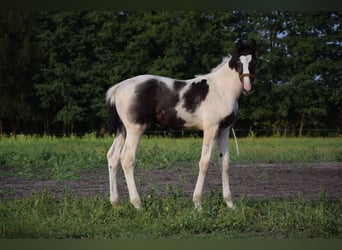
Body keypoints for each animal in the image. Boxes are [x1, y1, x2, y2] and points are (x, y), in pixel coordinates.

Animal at [106, 39, 256, 211]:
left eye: (254, 61)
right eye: (238, 61)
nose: (247, 87)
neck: (221, 90)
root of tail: (117, 88)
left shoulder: (224, 129)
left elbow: (224, 162)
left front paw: (230, 205)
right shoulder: (211, 128)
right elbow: (204, 162)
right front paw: (198, 205)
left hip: (122, 130)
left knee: (113, 157)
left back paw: (115, 203)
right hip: (135, 130)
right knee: (127, 159)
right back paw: (138, 205)